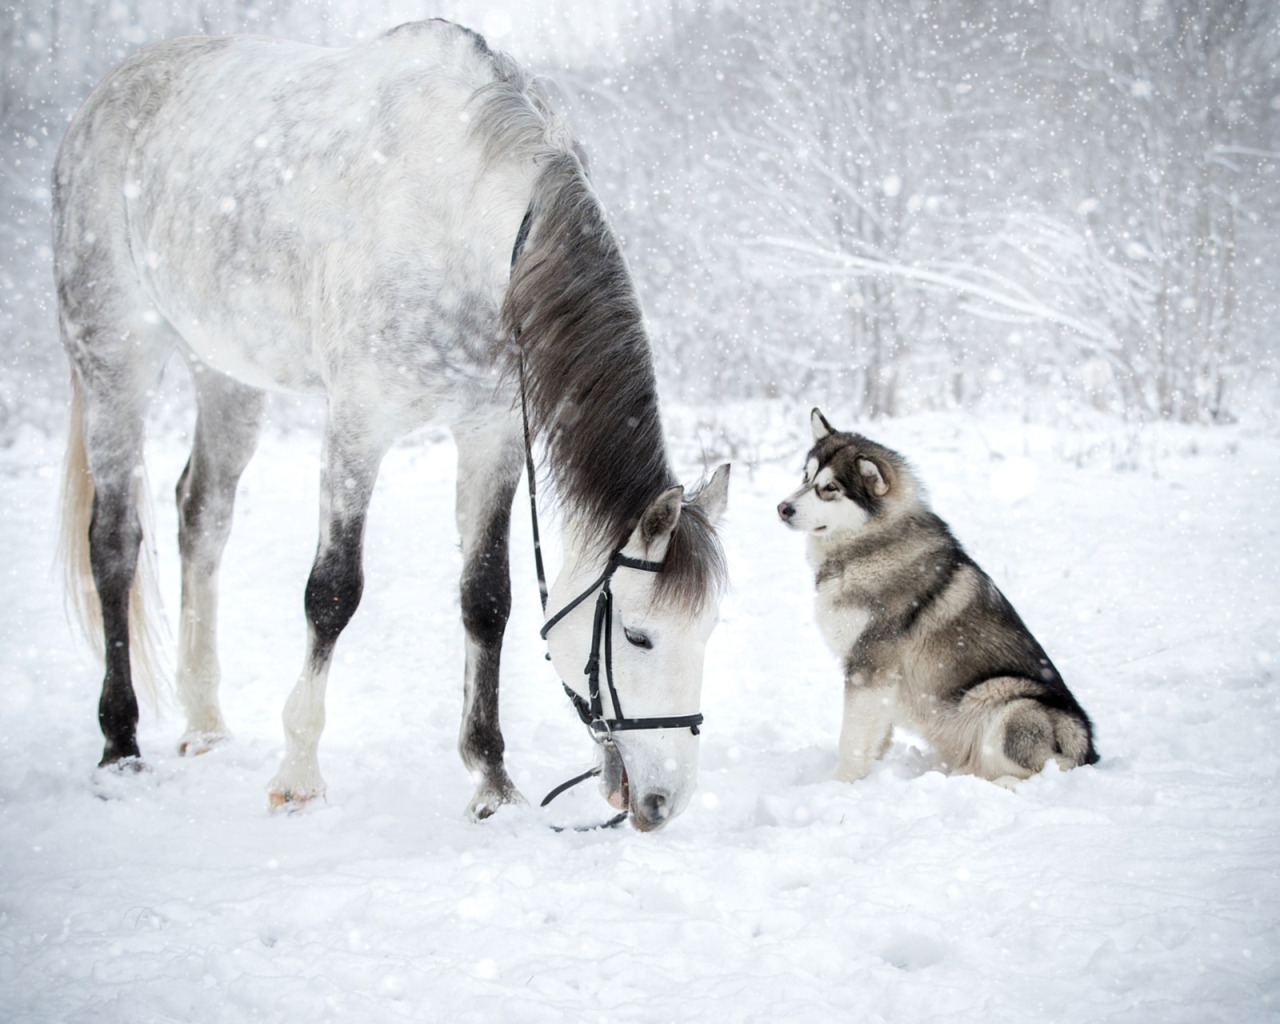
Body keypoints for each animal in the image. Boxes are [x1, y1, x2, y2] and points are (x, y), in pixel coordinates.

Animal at [773, 407, 1095, 783]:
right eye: (805, 476)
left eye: (830, 488)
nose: (782, 508)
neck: (869, 544)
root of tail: (1088, 750)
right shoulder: (879, 681)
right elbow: (874, 736)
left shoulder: (869, 665)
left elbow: (850, 739)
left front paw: (841, 784)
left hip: (1005, 698)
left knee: (1043, 769)